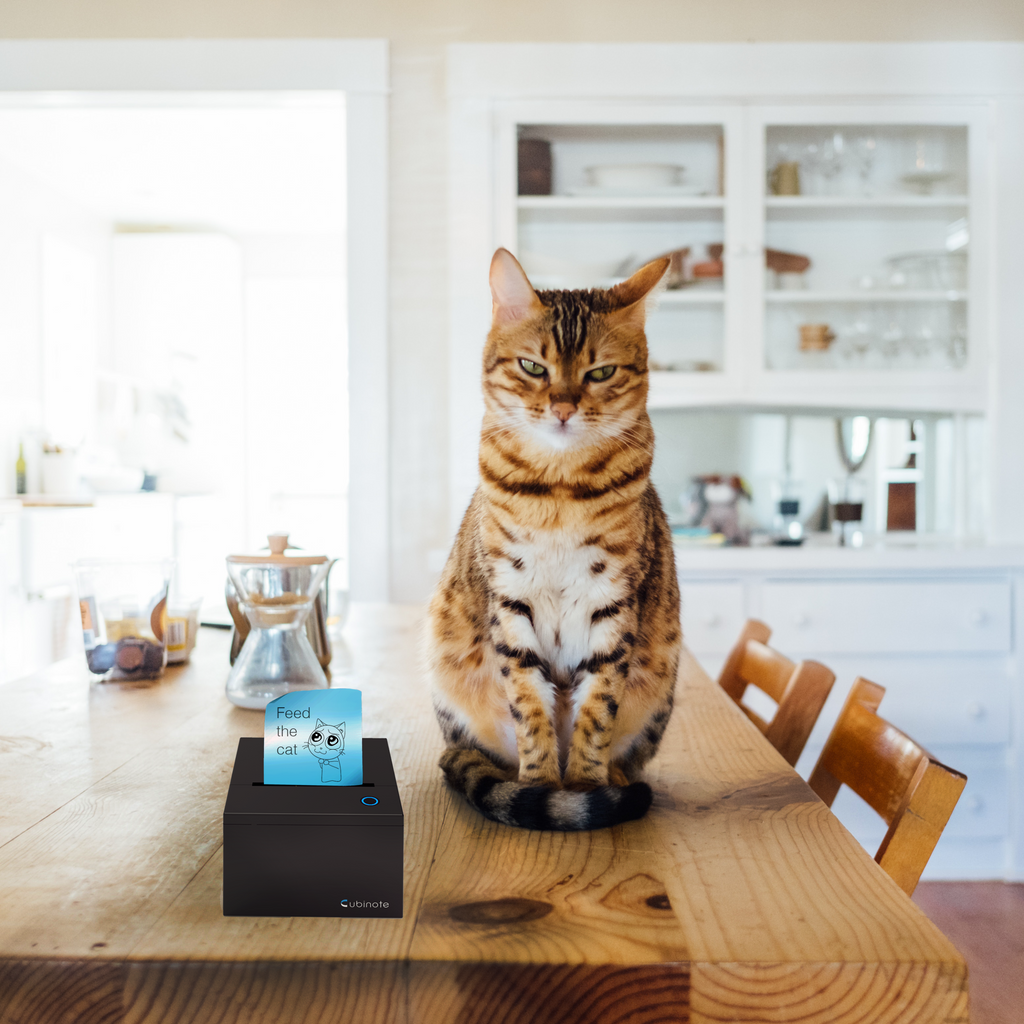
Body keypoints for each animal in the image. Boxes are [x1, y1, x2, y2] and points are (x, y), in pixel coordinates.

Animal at [425, 247, 679, 831]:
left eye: (601, 372)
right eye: (533, 367)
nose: (563, 408)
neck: (561, 490)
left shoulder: (613, 602)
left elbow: (597, 709)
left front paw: (584, 785)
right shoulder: (510, 598)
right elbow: (529, 706)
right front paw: (541, 787)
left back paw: (615, 780)